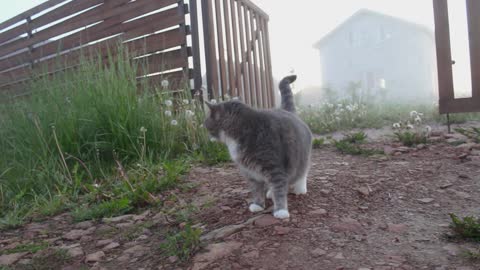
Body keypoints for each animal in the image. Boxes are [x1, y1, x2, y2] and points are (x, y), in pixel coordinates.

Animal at [203, 75, 314, 218]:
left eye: (207, 122)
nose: (203, 127)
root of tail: (287, 111)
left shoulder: (275, 168)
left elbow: (279, 189)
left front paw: (281, 211)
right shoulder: (250, 172)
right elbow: (256, 190)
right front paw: (258, 205)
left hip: (302, 157)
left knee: (302, 172)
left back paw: (300, 188)